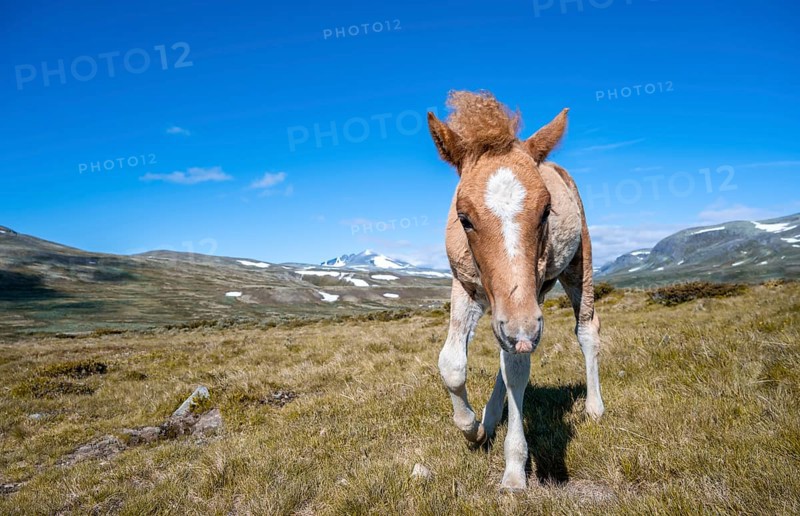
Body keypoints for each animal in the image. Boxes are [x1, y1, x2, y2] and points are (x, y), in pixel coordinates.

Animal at [427, 90, 605, 490]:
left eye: (546, 210)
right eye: (464, 218)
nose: (522, 331)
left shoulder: (526, 309)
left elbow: (518, 370)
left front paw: (513, 470)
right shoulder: (468, 287)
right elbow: (452, 364)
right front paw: (474, 429)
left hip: (576, 267)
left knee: (586, 330)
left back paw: (595, 407)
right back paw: (491, 416)